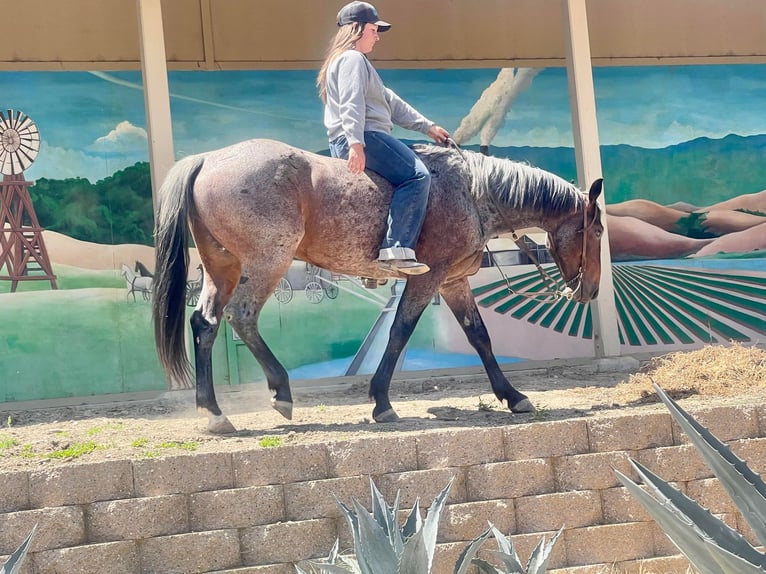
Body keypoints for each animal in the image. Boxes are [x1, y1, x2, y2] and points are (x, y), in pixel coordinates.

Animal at [152, 140, 608, 434]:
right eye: (599, 230)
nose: (589, 291)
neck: (473, 192)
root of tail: (208, 159)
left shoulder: (454, 281)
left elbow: (479, 336)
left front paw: (513, 396)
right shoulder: (428, 277)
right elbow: (400, 331)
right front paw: (382, 402)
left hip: (222, 267)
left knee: (205, 323)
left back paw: (214, 412)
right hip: (267, 262)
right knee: (241, 316)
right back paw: (280, 391)